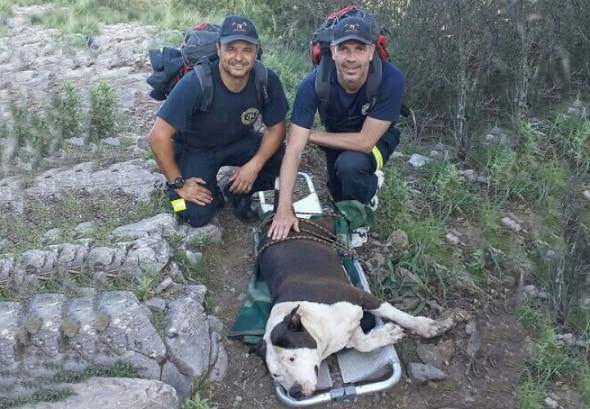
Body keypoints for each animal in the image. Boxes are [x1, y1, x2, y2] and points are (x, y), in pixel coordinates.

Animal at [256, 218, 456, 396]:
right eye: (276, 375)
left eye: (292, 358)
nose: (294, 392)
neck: (313, 321)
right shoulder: (347, 331)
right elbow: (363, 344)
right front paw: (387, 334)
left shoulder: (361, 296)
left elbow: (397, 314)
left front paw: (424, 326)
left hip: (322, 227)